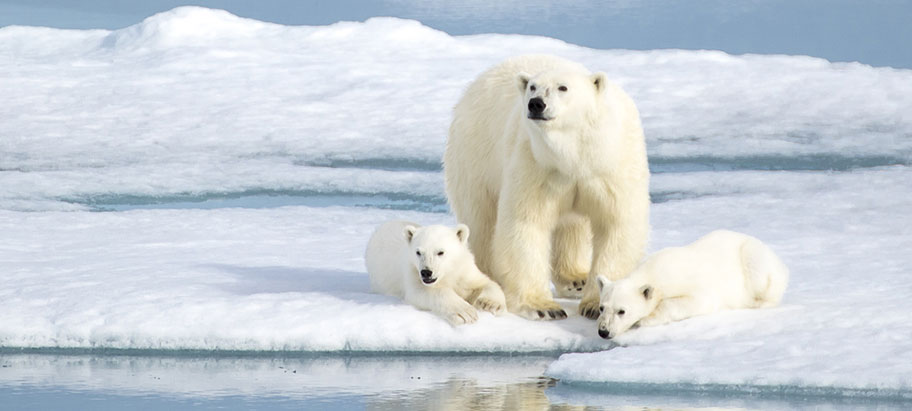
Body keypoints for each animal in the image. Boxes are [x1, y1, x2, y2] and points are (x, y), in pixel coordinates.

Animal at [364, 220, 506, 326]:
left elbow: (485, 283)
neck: (447, 274)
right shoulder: (412, 272)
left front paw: (489, 304)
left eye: (440, 252)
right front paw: (465, 313)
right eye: (418, 252)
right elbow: (423, 291)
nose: (426, 272)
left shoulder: (464, 271)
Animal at [444, 53, 648, 320]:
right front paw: (542, 307)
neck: (575, 154)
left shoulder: (610, 167)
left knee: (572, 226)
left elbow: (615, 224)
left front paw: (595, 305)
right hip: (475, 156)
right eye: (533, 87)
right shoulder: (535, 163)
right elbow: (526, 223)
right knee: (482, 220)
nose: (536, 104)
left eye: (563, 87)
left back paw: (575, 279)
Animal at [596, 230, 788, 340]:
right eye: (601, 308)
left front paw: (645, 320)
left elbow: (696, 301)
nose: (603, 331)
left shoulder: (692, 284)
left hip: (753, 257)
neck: (655, 270)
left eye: (622, 311)